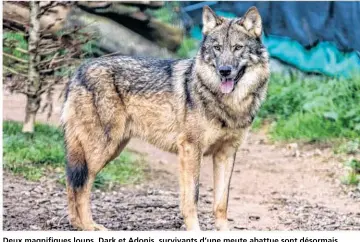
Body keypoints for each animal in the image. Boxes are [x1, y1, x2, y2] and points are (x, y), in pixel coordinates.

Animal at [62, 6, 268, 231]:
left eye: (238, 48)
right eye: (217, 48)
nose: (224, 71)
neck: (228, 104)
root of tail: (78, 71)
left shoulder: (226, 154)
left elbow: (221, 204)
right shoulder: (190, 149)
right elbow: (192, 198)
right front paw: (195, 230)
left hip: (111, 149)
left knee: (71, 181)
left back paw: (77, 224)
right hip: (101, 151)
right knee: (81, 185)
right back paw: (90, 226)